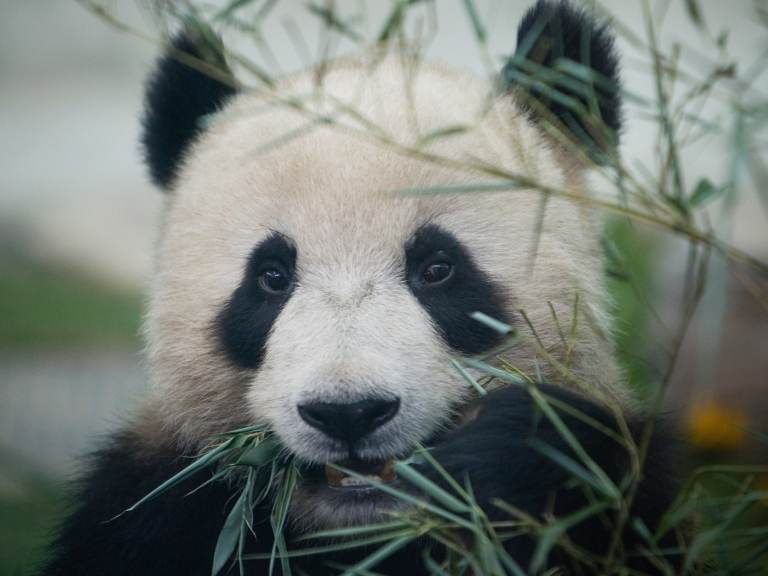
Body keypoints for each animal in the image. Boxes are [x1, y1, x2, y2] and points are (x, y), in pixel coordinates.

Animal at [42, 2, 680, 572]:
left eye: (437, 269)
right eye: (271, 277)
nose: (348, 413)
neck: (360, 529)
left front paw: (505, 460)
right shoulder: (156, 503)